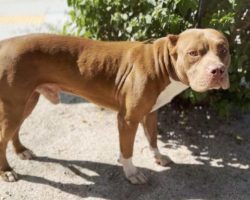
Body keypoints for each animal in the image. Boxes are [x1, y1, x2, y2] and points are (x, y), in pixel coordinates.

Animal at [0, 28, 230, 184]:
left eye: (224, 49)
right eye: (193, 53)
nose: (217, 70)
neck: (161, 62)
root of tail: (5, 43)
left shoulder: (151, 113)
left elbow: (153, 138)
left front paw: (157, 157)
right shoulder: (127, 119)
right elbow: (127, 149)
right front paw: (131, 172)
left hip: (27, 102)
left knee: (15, 130)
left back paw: (21, 150)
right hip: (14, 106)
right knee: (3, 137)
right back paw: (6, 170)